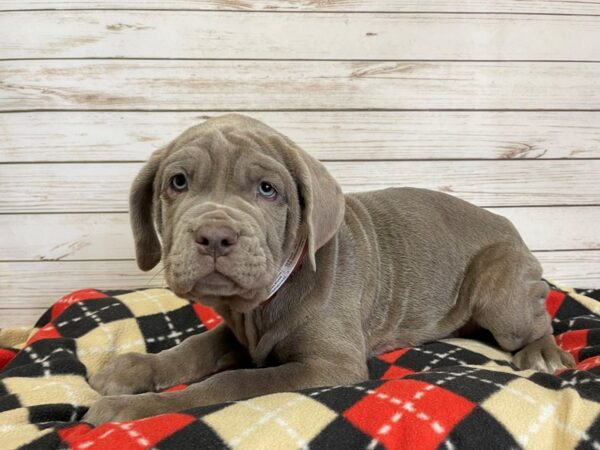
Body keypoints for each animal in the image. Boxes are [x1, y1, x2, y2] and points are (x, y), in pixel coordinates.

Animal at [82, 114, 576, 424]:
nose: (215, 235)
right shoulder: (241, 332)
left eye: (268, 190)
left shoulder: (331, 365)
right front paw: (134, 370)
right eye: (178, 182)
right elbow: (194, 348)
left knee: (537, 320)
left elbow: (232, 381)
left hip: (501, 296)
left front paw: (135, 410)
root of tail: (508, 224)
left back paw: (545, 352)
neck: (262, 305)